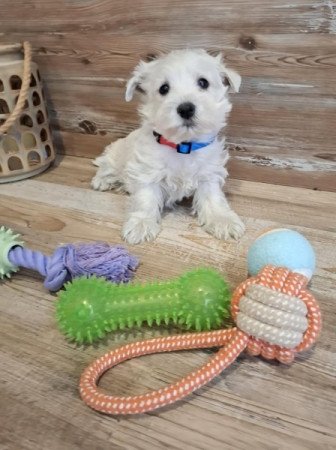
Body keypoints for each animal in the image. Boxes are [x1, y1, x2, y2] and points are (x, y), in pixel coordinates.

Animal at [92, 49, 244, 244]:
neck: (183, 146)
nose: (186, 108)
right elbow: (146, 198)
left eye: (203, 82)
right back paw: (101, 181)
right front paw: (141, 224)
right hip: (115, 155)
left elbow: (213, 197)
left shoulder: (208, 173)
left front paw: (222, 220)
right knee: (105, 166)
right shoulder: (147, 171)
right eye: (164, 88)